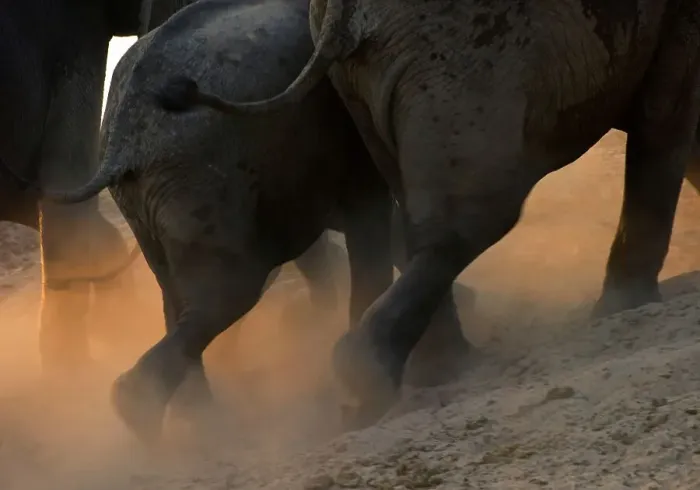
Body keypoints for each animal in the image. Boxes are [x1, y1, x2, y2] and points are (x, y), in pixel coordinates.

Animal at [40, 0, 475, 441]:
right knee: (229, 290)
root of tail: (123, 139)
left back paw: (191, 423)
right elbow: (371, 215)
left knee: (179, 296)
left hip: (150, 194)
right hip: (200, 178)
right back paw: (154, 417)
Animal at [161, 0, 700, 428]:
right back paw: (367, 379)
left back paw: (434, 370)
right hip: (466, 52)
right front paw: (629, 306)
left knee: (417, 208)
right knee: (477, 211)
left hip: (377, 72)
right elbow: (664, 119)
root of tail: (338, 8)